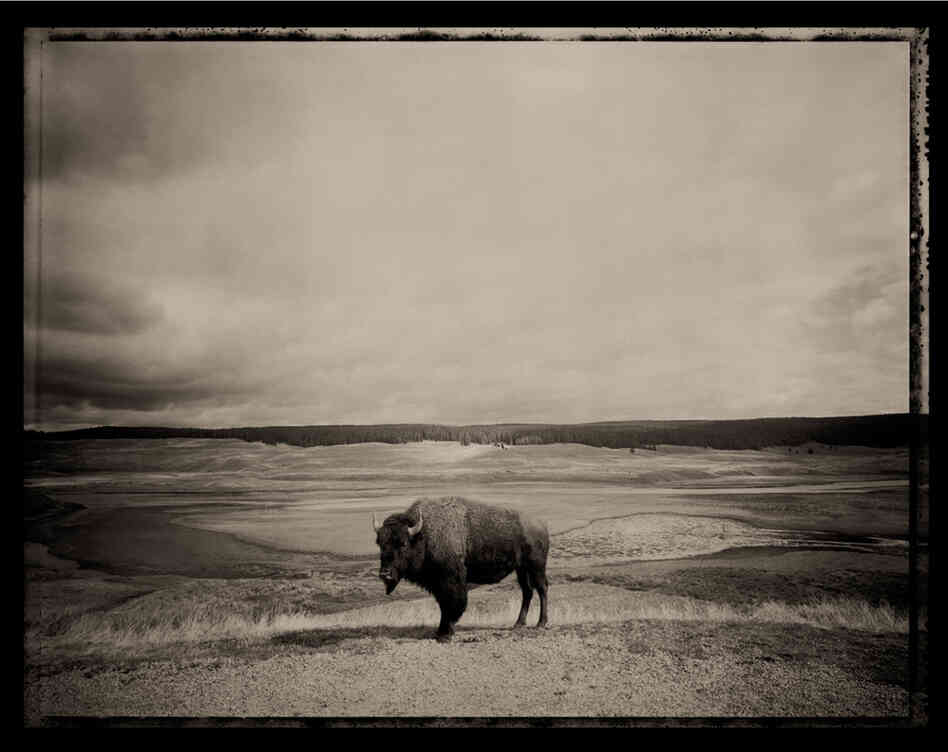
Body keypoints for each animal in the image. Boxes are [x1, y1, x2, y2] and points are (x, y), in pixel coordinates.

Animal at [373, 496, 550, 641]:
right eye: (380, 544)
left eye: (403, 543)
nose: (385, 574)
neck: (424, 534)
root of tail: (541, 526)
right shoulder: (437, 584)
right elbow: (443, 604)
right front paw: (441, 631)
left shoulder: (451, 580)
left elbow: (452, 603)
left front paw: (445, 634)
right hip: (521, 569)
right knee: (527, 591)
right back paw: (519, 623)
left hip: (536, 566)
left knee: (542, 588)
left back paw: (541, 623)